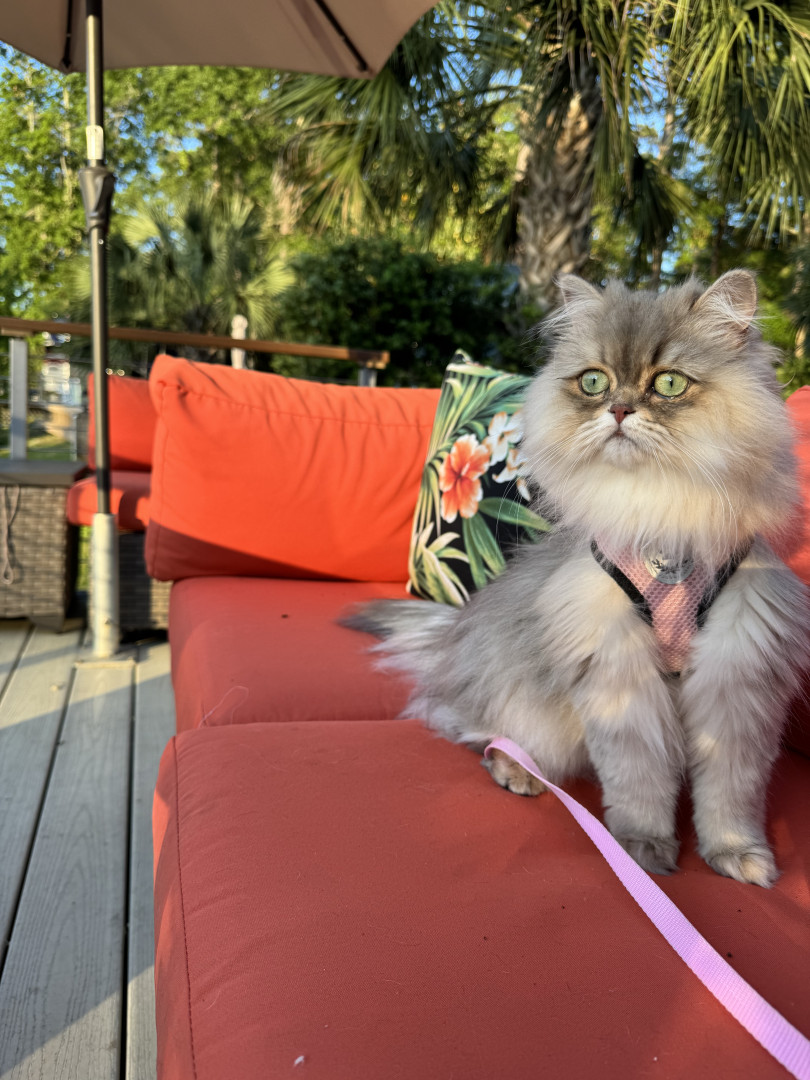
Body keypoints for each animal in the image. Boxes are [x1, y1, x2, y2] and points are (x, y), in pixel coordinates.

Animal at [344, 270, 810, 888]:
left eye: (667, 384)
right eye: (594, 382)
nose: (618, 411)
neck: (660, 518)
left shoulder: (738, 679)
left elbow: (730, 794)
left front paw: (737, 855)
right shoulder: (617, 676)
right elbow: (639, 783)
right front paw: (643, 851)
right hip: (541, 716)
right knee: (476, 731)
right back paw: (516, 771)